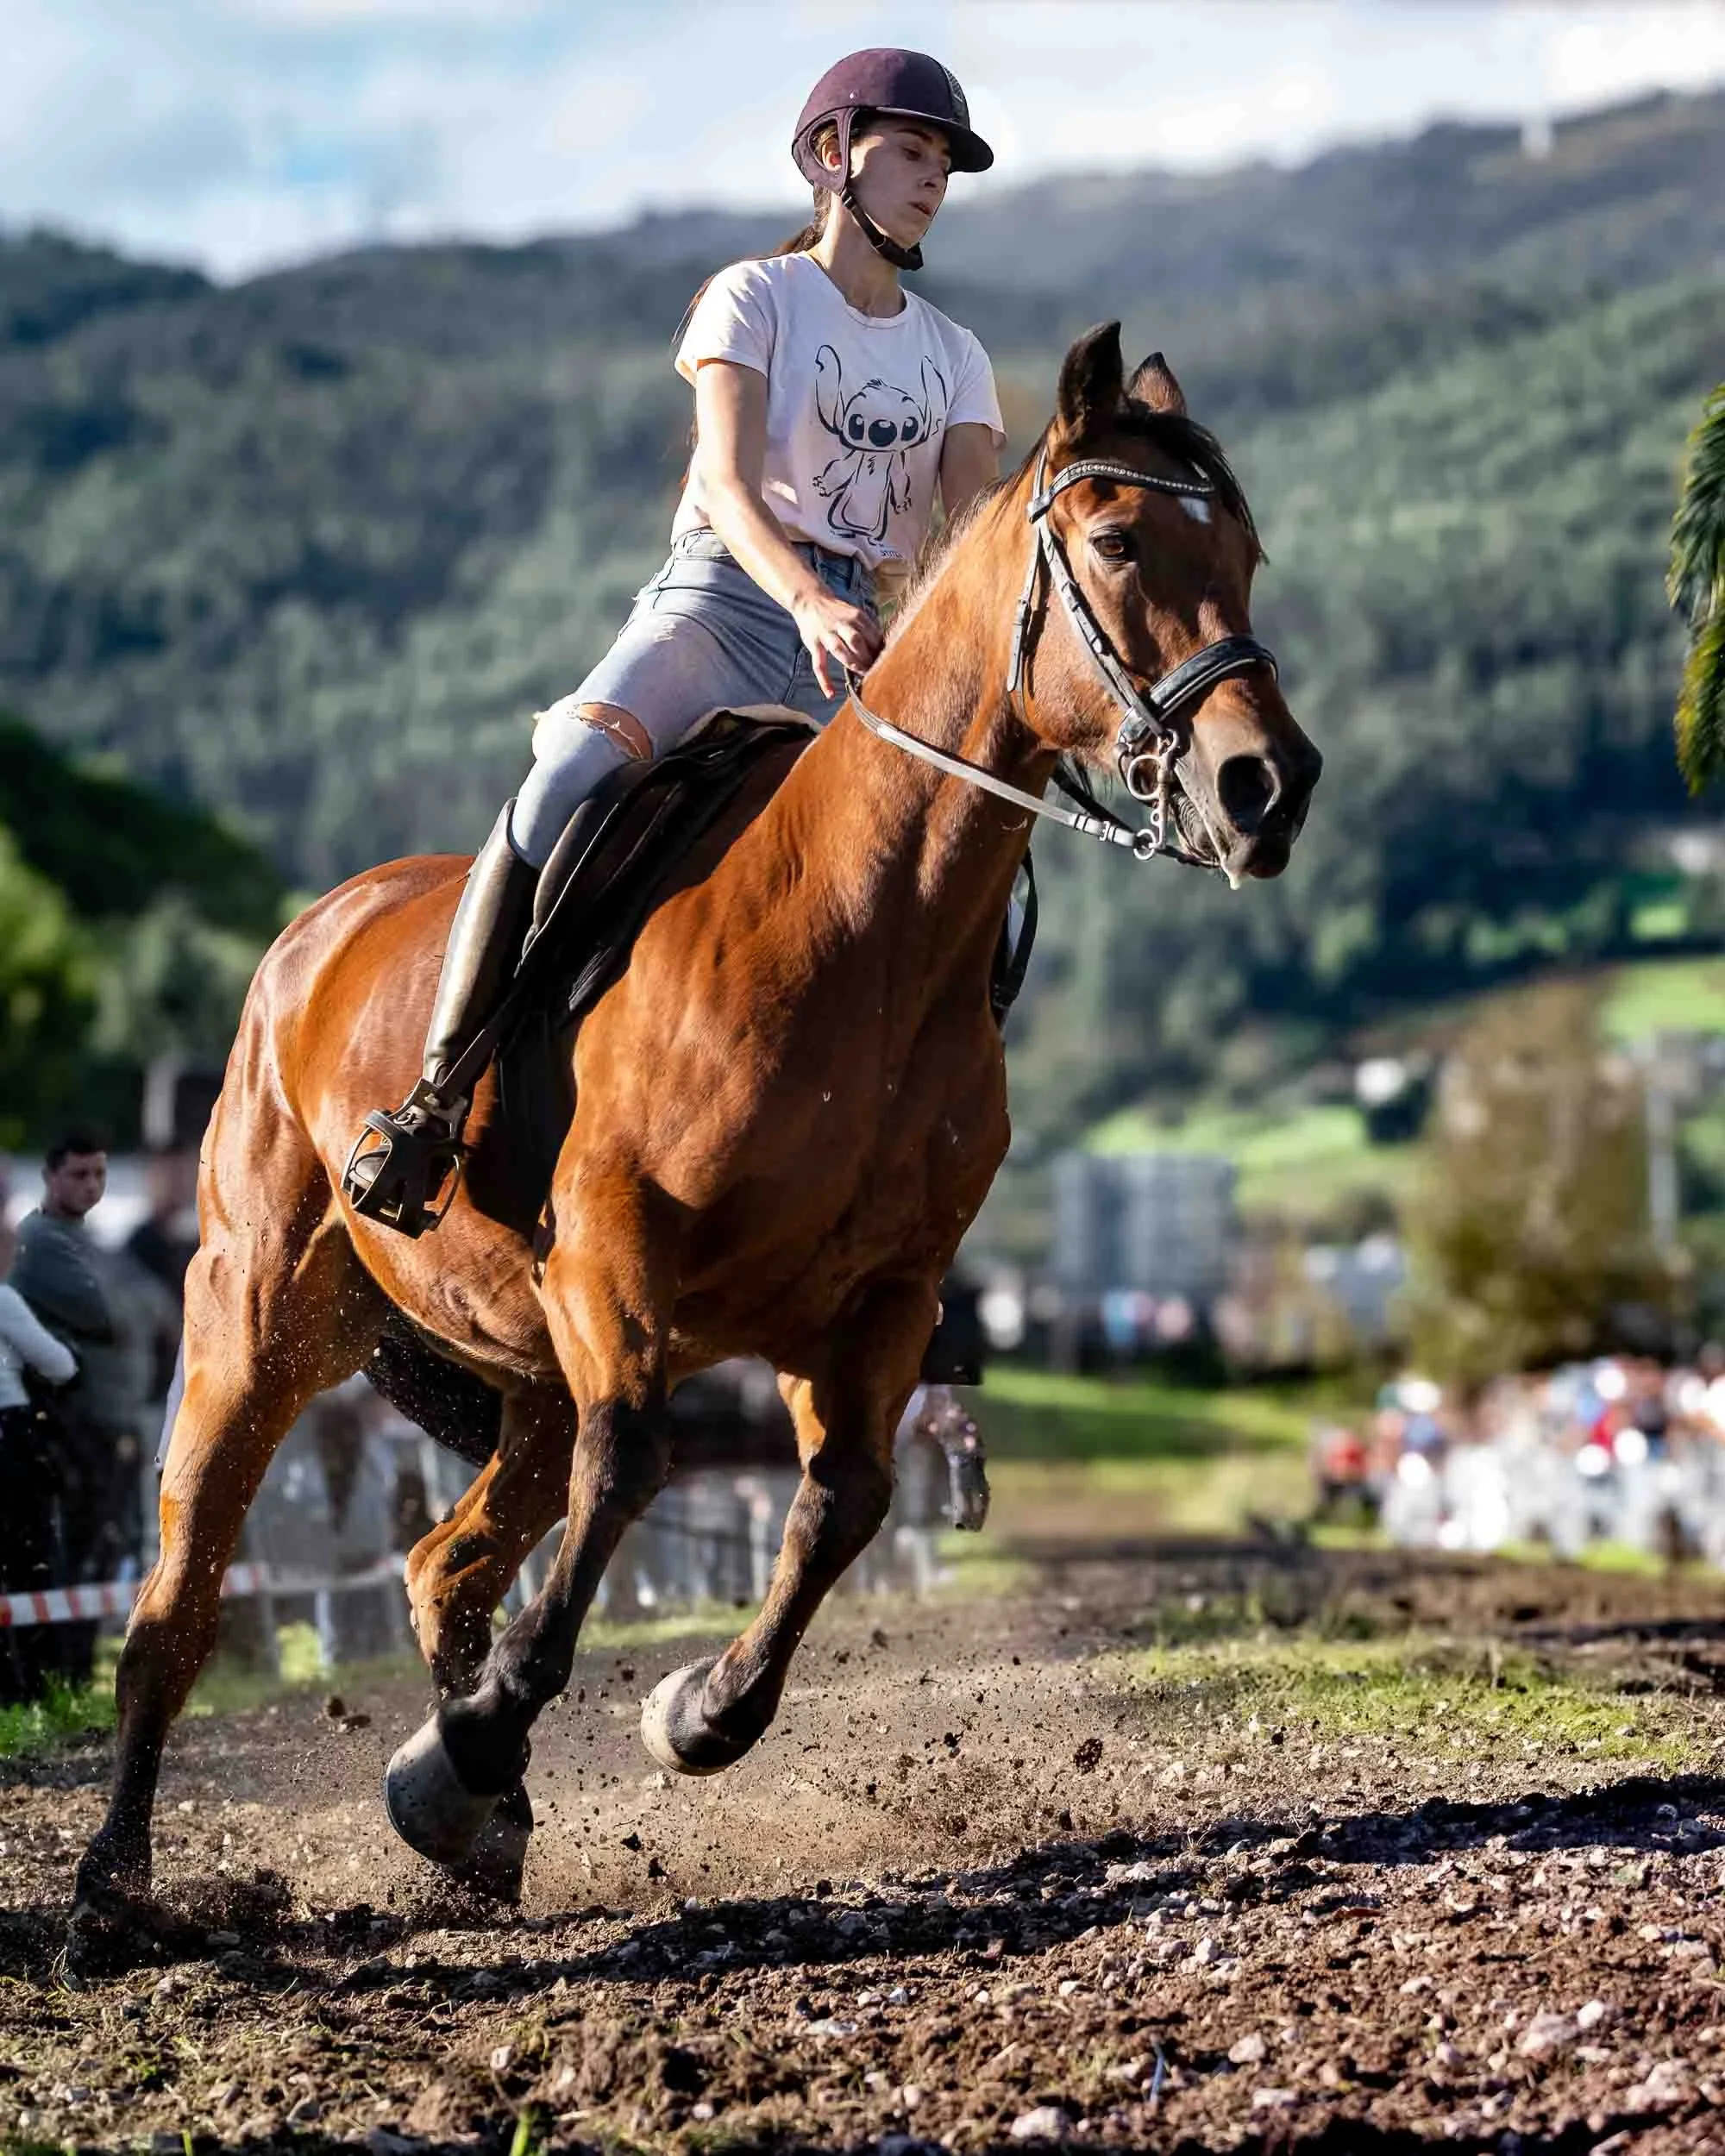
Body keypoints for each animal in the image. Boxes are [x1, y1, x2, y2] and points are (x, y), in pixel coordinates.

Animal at [71, 322, 1320, 1936]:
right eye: (1116, 540)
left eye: (1247, 550)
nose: (1267, 786)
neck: (858, 933)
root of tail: (312, 935)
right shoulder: (618, 1266)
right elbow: (632, 1478)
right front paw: (468, 1752)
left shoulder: (871, 1300)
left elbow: (841, 1502)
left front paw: (682, 1717)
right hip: (258, 1318)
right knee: (182, 1597)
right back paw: (118, 1887)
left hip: (516, 1366)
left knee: (444, 1564)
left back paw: (483, 1829)